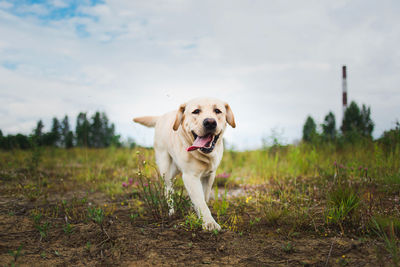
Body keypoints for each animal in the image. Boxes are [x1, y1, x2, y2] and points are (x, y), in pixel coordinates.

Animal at [133, 97, 236, 231]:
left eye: (217, 111)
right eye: (196, 111)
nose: (210, 122)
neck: (204, 156)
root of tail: (161, 116)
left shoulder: (210, 175)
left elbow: (204, 197)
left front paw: (198, 213)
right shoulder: (190, 177)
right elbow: (200, 201)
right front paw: (209, 222)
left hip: (175, 168)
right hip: (165, 167)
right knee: (168, 189)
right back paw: (171, 212)